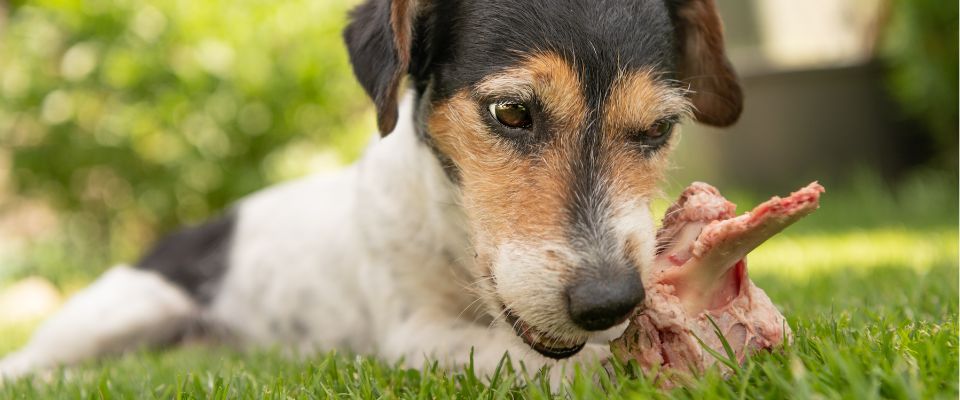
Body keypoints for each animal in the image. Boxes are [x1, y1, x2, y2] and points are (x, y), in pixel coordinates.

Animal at [0, 0, 744, 382]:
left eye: (658, 128)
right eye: (510, 112)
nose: (609, 301)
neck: (453, 237)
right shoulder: (413, 331)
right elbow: (555, 365)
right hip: (122, 309)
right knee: (31, 360)